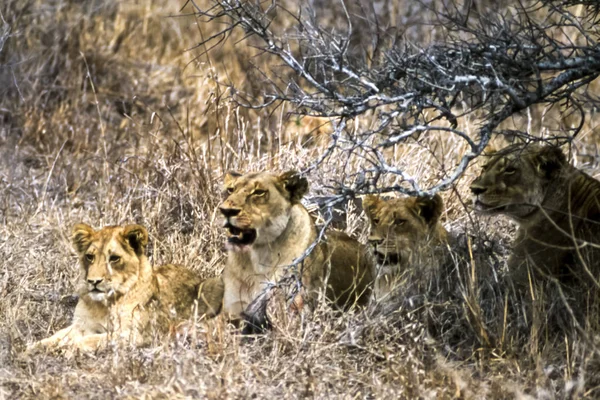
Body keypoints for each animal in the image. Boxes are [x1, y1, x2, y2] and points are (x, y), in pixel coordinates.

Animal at [28, 223, 223, 352]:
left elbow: (95, 339)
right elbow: (57, 335)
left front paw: (70, 347)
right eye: (90, 257)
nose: (93, 281)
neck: (103, 305)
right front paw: (33, 348)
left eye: (114, 258)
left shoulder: (135, 335)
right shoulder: (81, 324)